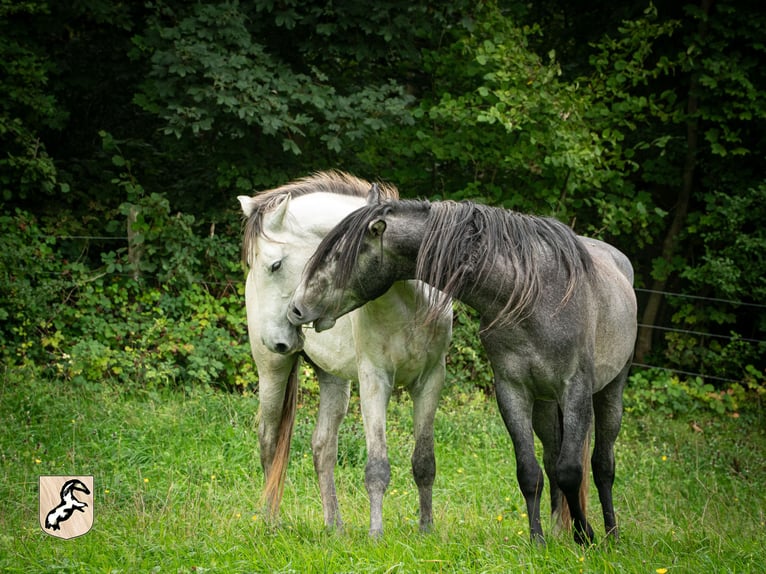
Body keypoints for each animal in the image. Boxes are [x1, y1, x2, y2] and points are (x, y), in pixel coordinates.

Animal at [240, 173, 452, 536]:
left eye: (275, 265)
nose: (278, 339)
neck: (408, 301)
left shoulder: (430, 380)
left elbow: (424, 461)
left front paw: (426, 530)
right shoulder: (374, 380)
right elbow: (377, 466)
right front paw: (376, 534)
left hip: (334, 380)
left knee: (323, 447)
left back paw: (334, 527)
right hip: (272, 371)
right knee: (269, 439)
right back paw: (271, 522)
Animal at [292, 192, 640, 544]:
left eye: (337, 256)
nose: (296, 308)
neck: (534, 295)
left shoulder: (575, 390)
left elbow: (571, 471)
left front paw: (585, 536)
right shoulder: (512, 390)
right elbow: (529, 470)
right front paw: (537, 541)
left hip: (610, 392)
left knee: (602, 464)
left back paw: (611, 533)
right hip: (544, 404)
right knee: (551, 456)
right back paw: (559, 530)